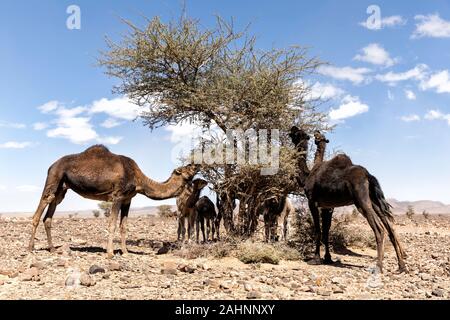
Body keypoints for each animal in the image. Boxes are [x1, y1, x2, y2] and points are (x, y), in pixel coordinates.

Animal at [27, 144, 197, 258]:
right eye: (187, 168)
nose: (197, 165)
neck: (138, 180)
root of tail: (51, 166)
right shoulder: (117, 196)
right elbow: (112, 224)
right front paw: (110, 253)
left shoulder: (127, 199)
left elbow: (123, 226)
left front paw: (126, 252)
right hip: (54, 177)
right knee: (42, 206)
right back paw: (30, 248)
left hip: (62, 188)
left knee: (49, 214)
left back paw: (52, 249)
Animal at [290, 127, 406, 272]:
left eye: (297, 133)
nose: (292, 128)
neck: (308, 175)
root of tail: (368, 175)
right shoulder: (328, 206)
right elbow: (326, 231)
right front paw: (328, 258)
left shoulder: (312, 201)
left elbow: (317, 230)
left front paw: (315, 259)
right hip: (374, 201)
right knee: (390, 228)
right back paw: (401, 266)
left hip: (361, 200)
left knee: (379, 229)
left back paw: (378, 267)